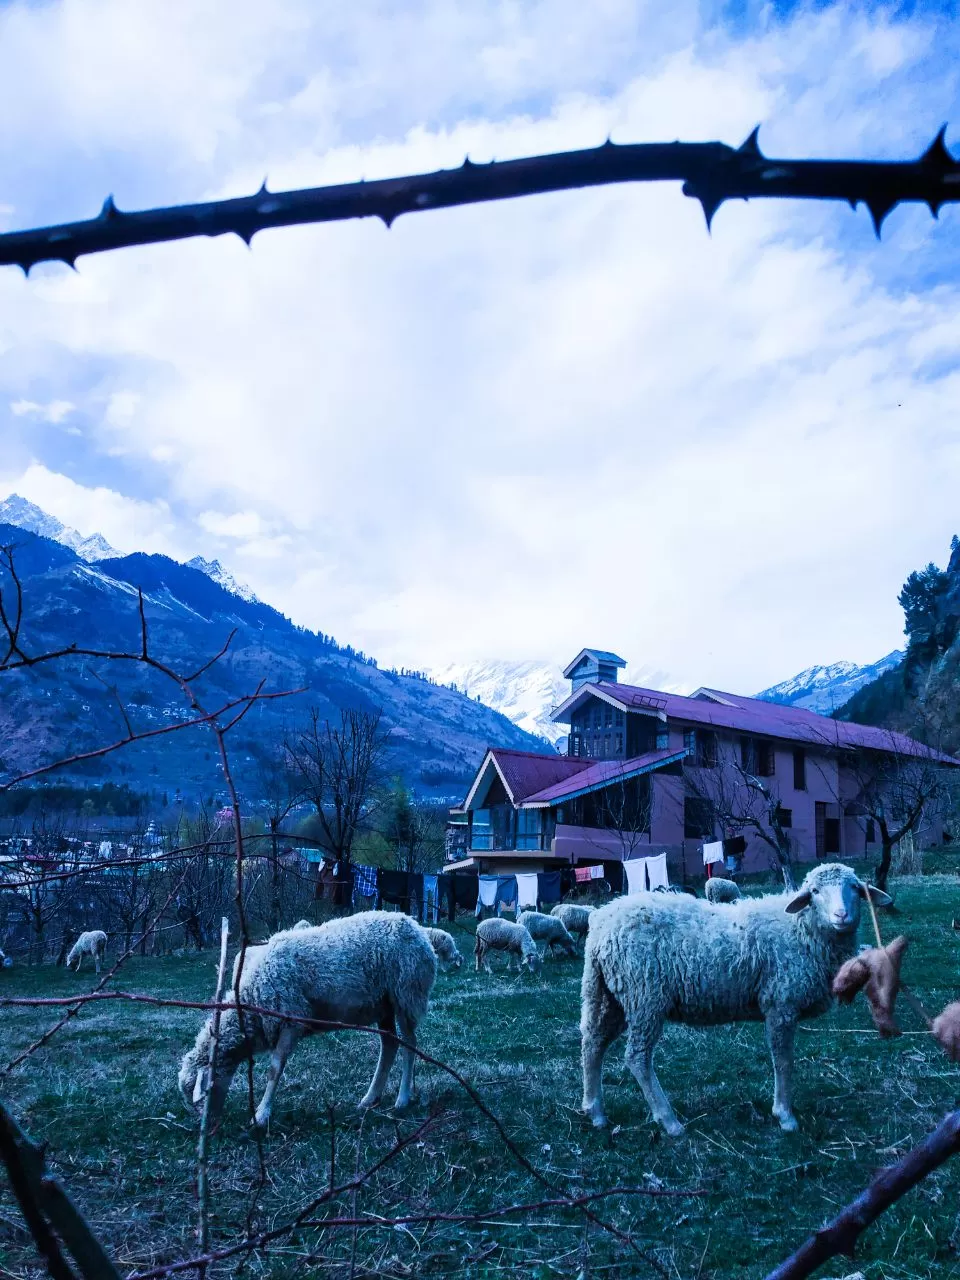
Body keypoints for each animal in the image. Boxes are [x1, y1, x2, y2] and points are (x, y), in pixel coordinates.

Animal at [179, 911, 435, 1131]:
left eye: (202, 1095)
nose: (208, 1127)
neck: (251, 1002)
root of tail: (414, 925)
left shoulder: (291, 1019)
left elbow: (274, 1069)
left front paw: (261, 1115)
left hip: (405, 994)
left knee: (409, 1044)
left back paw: (402, 1099)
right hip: (384, 1004)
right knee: (389, 1045)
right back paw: (370, 1098)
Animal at [583, 865, 890, 1136]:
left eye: (854, 888)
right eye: (814, 891)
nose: (841, 914)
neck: (799, 928)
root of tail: (601, 923)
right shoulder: (781, 1004)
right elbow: (784, 1061)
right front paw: (785, 1116)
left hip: (608, 995)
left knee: (593, 1043)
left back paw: (595, 1112)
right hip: (645, 995)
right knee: (637, 1057)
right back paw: (669, 1121)